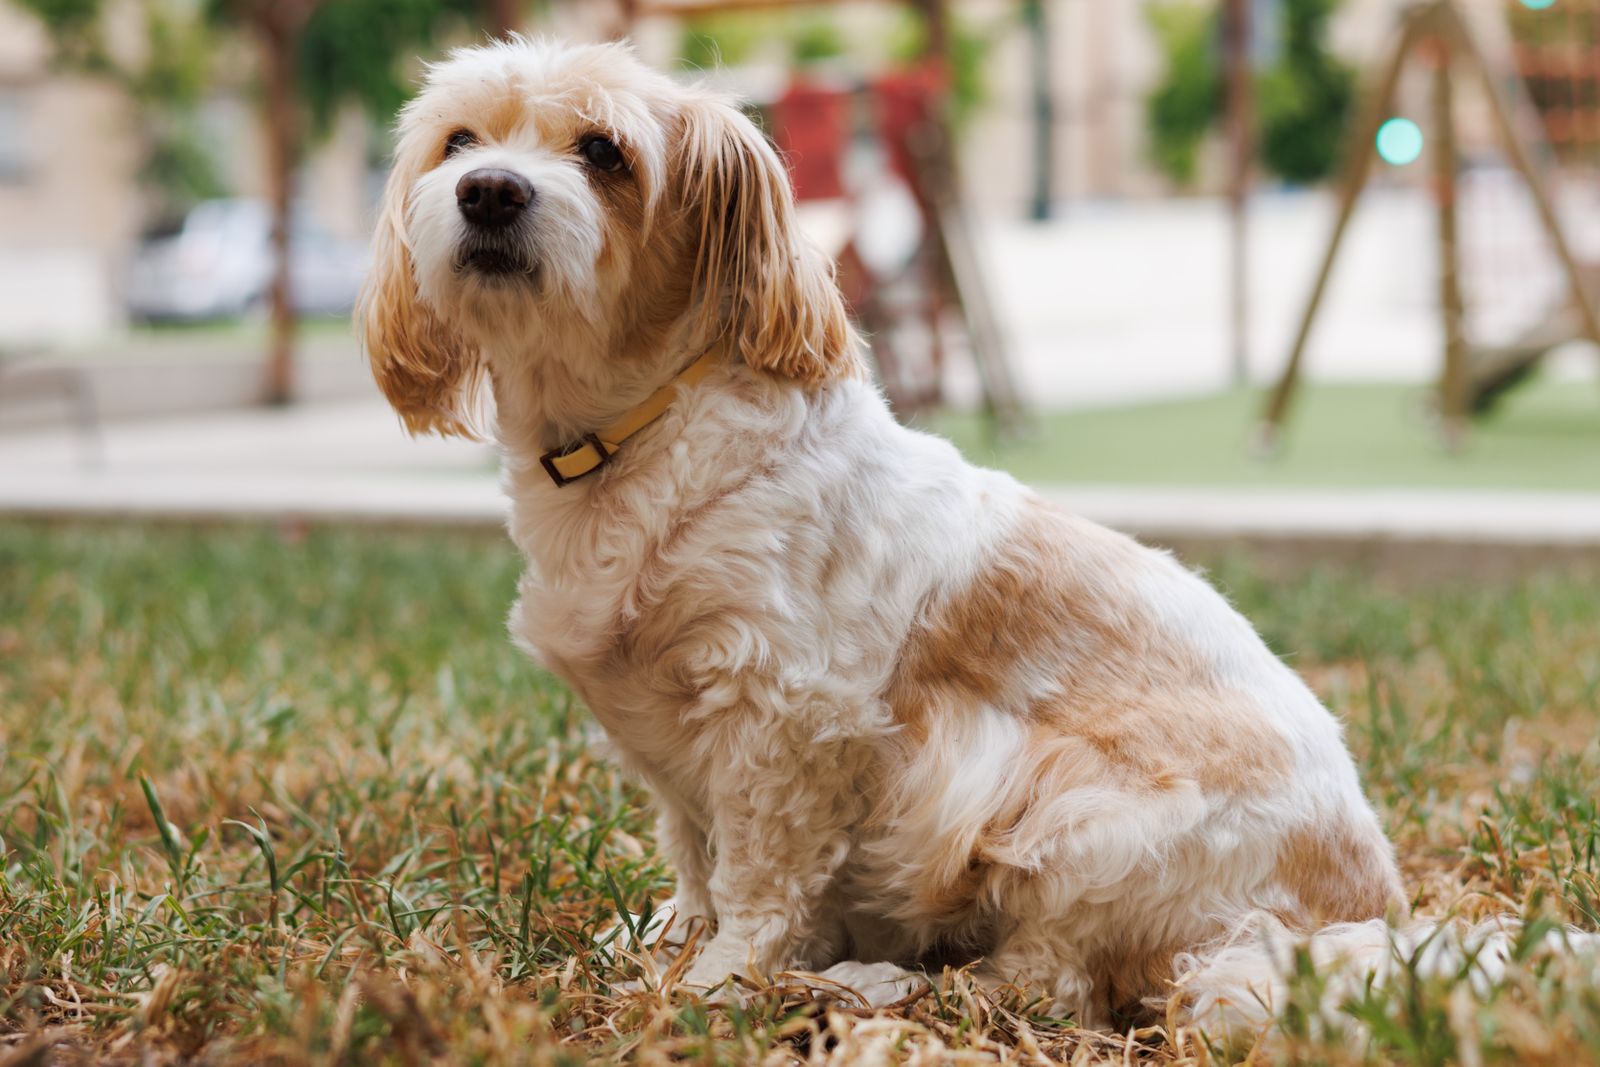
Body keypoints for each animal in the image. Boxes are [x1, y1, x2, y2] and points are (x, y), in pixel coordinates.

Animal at [360, 37, 1548, 1030]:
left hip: (1077, 825)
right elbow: (695, 856)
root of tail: (1361, 915)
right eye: (458, 142)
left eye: (603, 152)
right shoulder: (666, 747)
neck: (636, 441)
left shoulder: (789, 720)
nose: (489, 191)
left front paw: (719, 978)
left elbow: (758, 876)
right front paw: (669, 938)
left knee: (1048, 984)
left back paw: (880, 981)